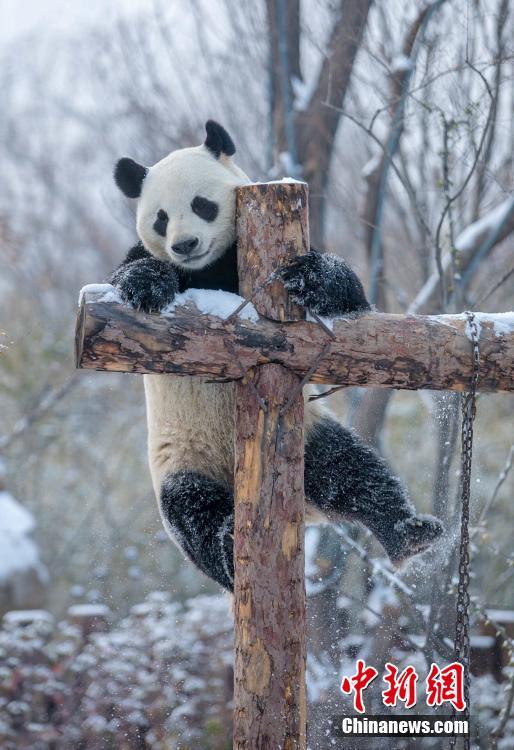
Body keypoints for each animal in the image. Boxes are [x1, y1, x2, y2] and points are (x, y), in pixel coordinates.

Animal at [111, 119, 443, 592]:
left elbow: (352, 300)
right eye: (161, 217)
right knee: (192, 515)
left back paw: (410, 534)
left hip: (310, 436)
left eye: (201, 204)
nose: (185, 244)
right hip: (181, 459)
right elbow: (128, 275)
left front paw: (311, 278)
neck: (208, 267)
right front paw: (145, 286)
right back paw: (229, 547)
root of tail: (304, 512)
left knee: (353, 473)